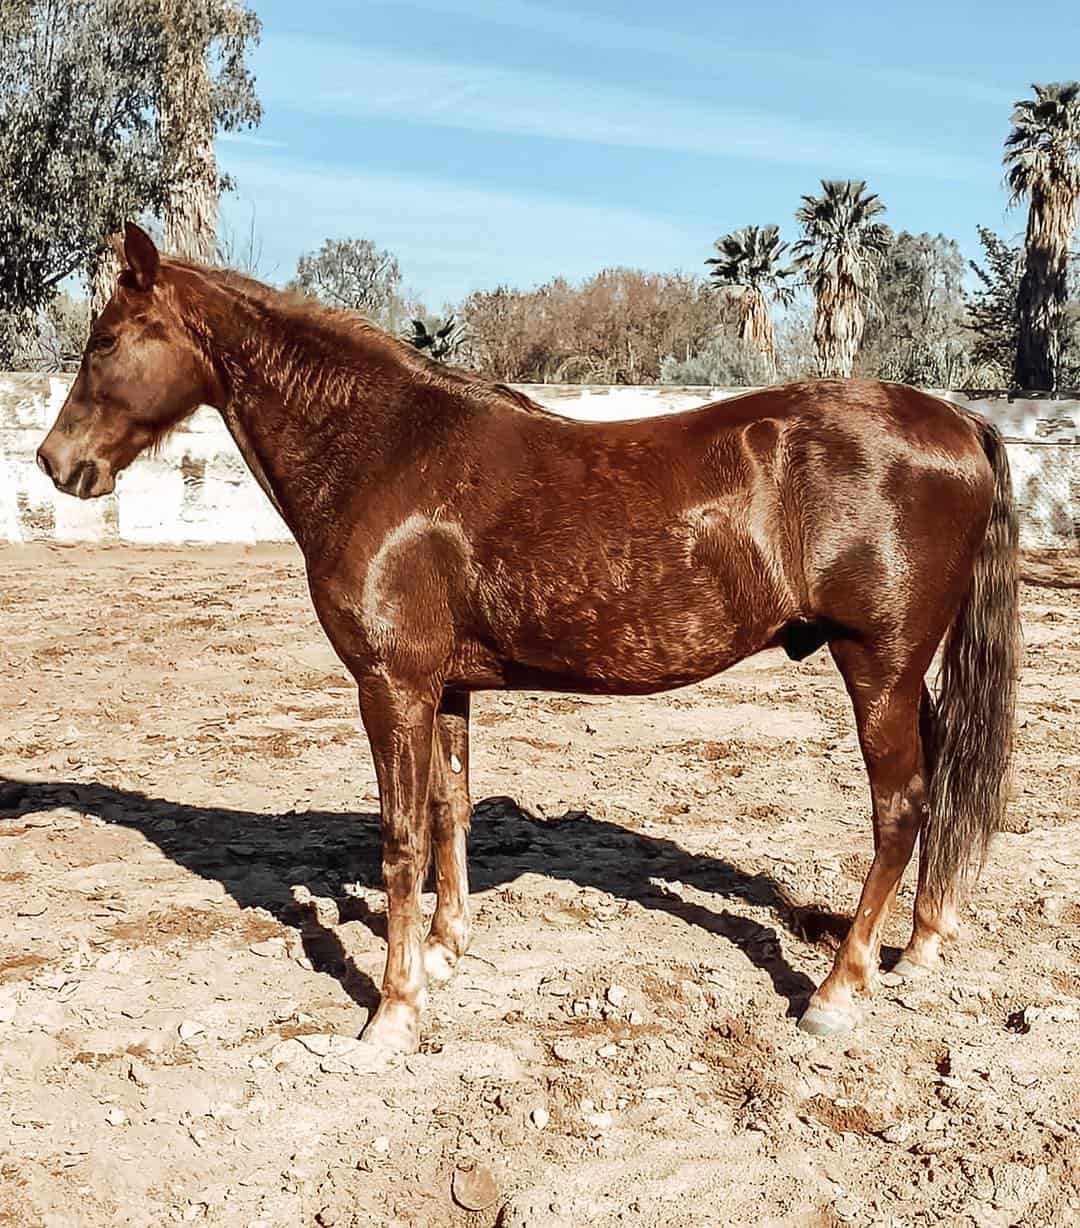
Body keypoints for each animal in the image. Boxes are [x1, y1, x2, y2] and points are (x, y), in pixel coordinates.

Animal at [37, 223, 1020, 1054]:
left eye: (105, 341)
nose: (56, 464)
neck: (386, 451)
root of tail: (958, 421)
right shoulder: (446, 686)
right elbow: (450, 811)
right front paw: (444, 951)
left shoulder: (390, 684)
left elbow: (398, 838)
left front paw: (392, 1012)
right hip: (902, 674)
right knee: (938, 785)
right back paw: (922, 944)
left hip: (877, 665)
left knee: (900, 809)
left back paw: (837, 991)